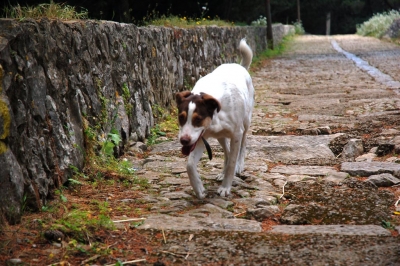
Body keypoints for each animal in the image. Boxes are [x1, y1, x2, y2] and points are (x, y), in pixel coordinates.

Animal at [174, 38, 253, 198]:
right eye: (181, 117)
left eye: (198, 119)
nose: (183, 140)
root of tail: (240, 66)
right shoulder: (200, 138)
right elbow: (190, 165)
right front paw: (199, 188)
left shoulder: (237, 133)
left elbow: (233, 161)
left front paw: (225, 187)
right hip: (220, 136)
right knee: (227, 152)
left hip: (246, 123)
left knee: (242, 145)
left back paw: (239, 165)